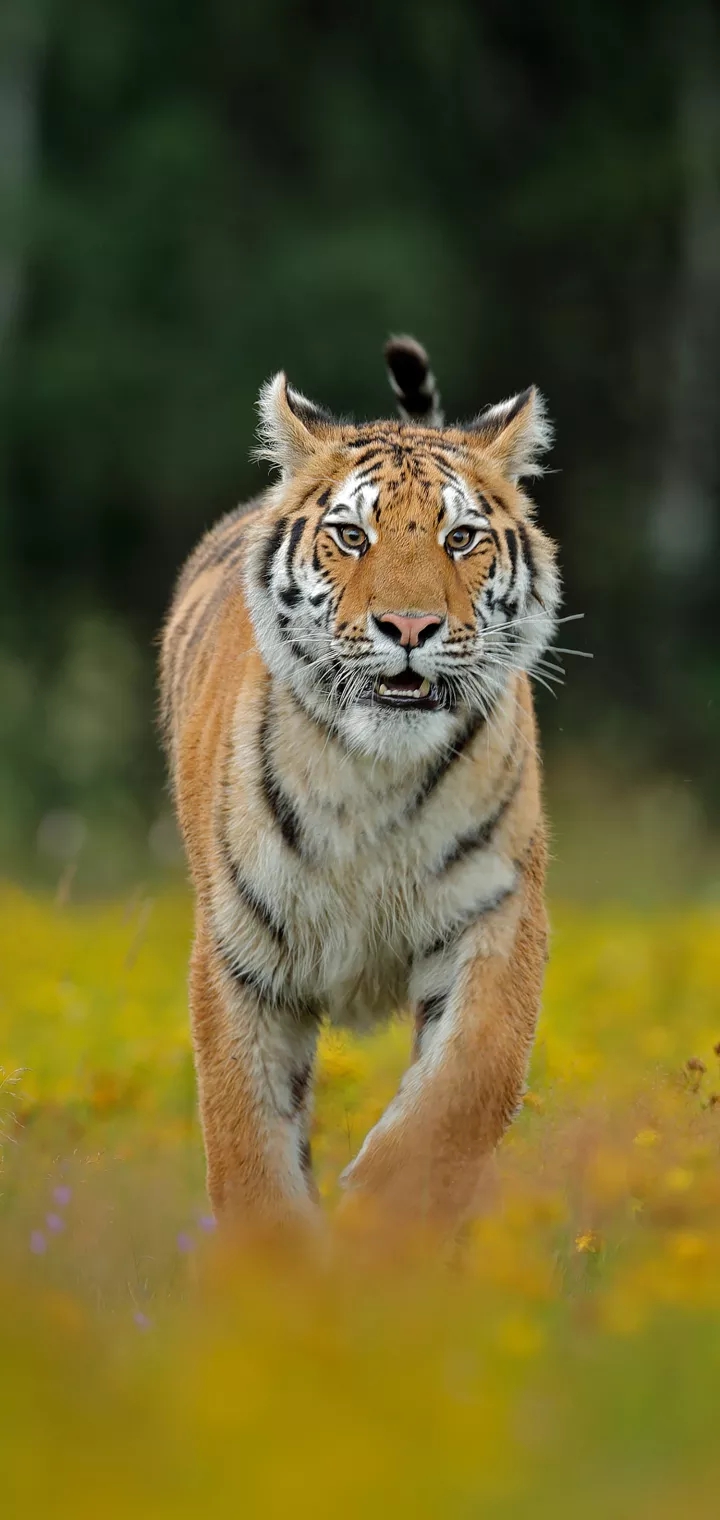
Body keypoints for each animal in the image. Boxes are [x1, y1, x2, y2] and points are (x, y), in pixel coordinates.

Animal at [160, 336, 561, 1238]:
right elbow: (246, 1141)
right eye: (349, 534)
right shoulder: (239, 957)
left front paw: (388, 1220)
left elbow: (464, 1085)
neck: (373, 772)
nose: (409, 628)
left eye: (461, 538)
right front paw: (278, 1267)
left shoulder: (497, 916)